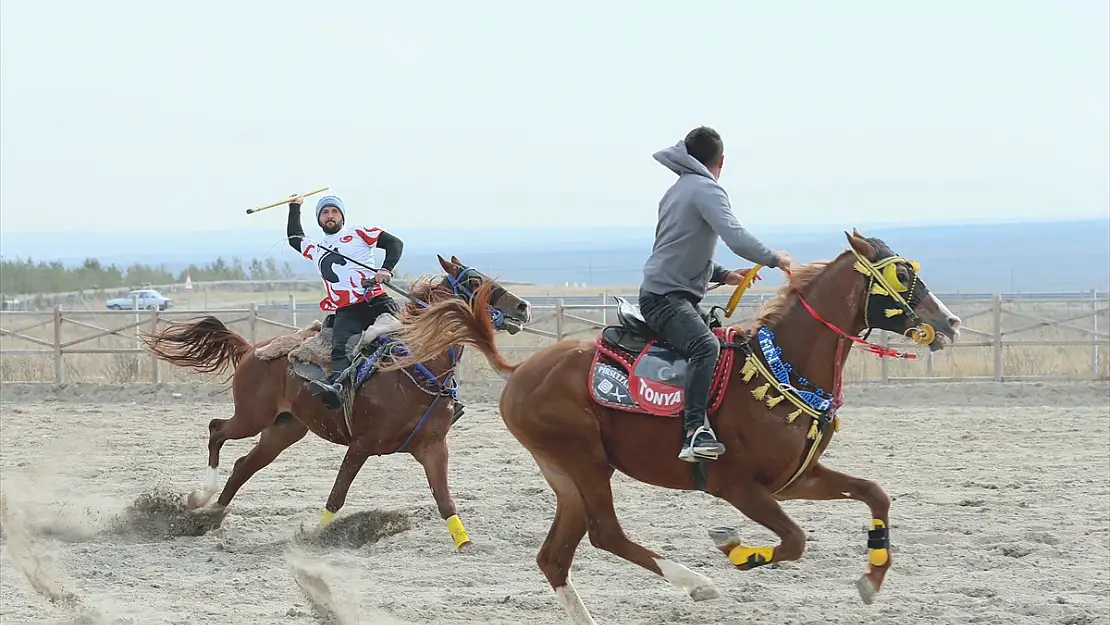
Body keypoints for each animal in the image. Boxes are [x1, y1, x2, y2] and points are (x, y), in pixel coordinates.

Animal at [137, 256, 528, 550]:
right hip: (251, 417)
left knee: (243, 465)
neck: (412, 365)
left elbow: (444, 500)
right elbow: (337, 495)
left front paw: (465, 544)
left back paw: (211, 517)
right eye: (475, 281)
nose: (523, 307)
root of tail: (251, 350)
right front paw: (318, 535)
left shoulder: (433, 448)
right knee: (217, 430)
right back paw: (201, 497)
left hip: (283, 430)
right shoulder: (361, 445)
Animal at [379, 232, 963, 621]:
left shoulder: (797, 480)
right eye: (902, 275)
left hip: (564, 474)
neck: (781, 368)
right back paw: (697, 582)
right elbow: (795, 540)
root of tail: (521, 369)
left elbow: (875, 492)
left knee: (555, 557)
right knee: (605, 534)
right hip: (585, 462)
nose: (952, 323)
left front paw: (873, 576)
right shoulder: (739, 487)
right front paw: (735, 549)